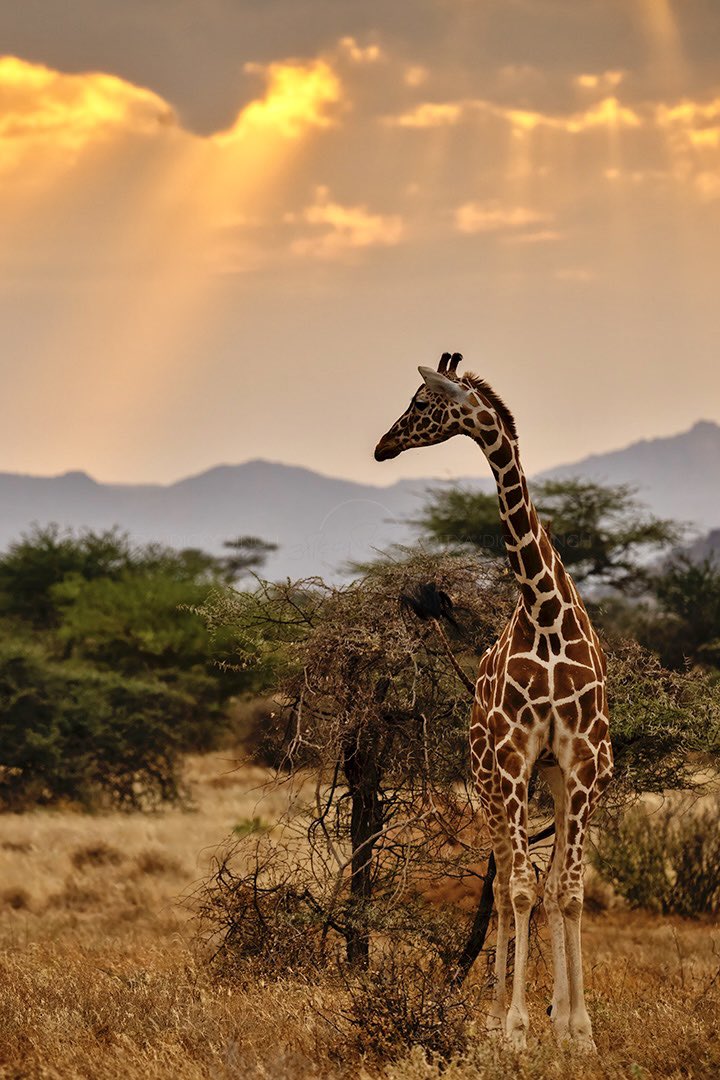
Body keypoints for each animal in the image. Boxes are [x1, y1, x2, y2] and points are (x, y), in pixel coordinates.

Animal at [375, 354, 617, 1054]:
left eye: (420, 402)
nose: (383, 445)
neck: (543, 612)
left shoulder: (581, 760)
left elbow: (568, 889)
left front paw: (577, 1030)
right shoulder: (512, 758)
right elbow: (519, 888)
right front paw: (512, 1028)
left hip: (554, 778)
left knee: (546, 877)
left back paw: (556, 1014)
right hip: (489, 779)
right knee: (510, 879)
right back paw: (490, 1016)